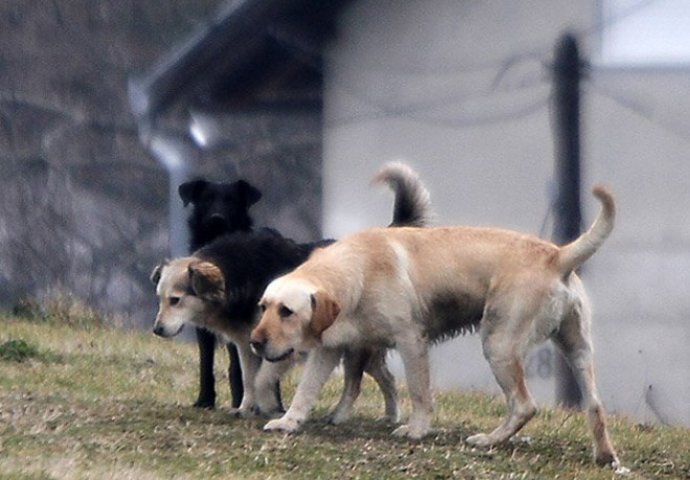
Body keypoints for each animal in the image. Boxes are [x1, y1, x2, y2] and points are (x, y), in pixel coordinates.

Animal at [179, 177, 262, 408]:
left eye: (231, 200)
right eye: (206, 199)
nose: (217, 219)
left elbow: (238, 365)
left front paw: (239, 399)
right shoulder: (202, 325)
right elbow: (205, 361)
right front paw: (205, 400)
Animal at [251, 182, 620, 466]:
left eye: (287, 311)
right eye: (263, 306)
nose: (255, 342)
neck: (356, 273)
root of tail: (557, 256)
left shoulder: (411, 341)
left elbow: (418, 391)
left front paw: (416, 430)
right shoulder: (329, 349)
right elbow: (305, 391)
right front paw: (288, 422)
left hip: (498, 346)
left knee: (524, 406)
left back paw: (487, 440)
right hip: (577, 350)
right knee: (595, 406)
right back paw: (604, 456)